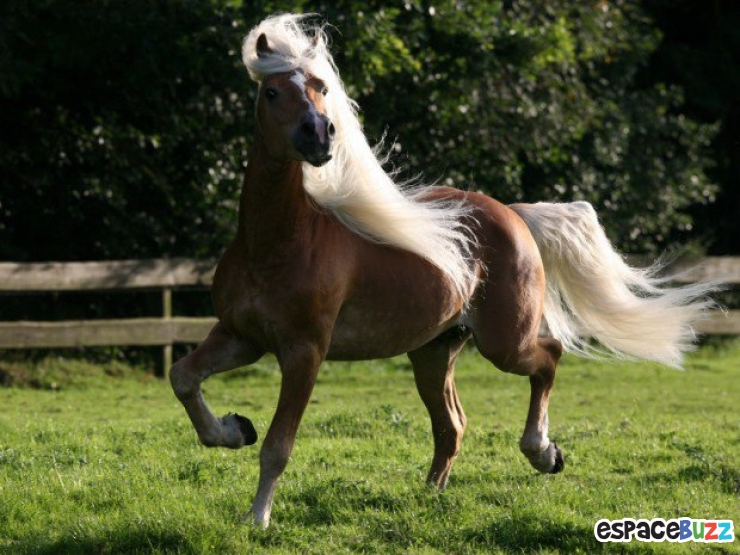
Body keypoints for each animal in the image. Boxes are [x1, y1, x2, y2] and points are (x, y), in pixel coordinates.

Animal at [169, 14, 716, 527]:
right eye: (272, 91)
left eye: (322, 88)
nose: (319, 135)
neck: (277, 243)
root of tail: (514, 213)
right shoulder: (242, 336)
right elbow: (183, 378)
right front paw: (234, 428)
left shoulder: (304, 352)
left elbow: (278, 447)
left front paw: (258, 518)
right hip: (433, 352)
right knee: (452, 425)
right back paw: (429, 498)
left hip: (503, 343)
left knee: (549, 357)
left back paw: (543, 452)